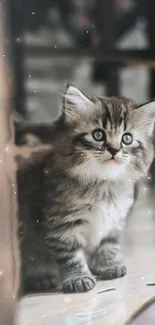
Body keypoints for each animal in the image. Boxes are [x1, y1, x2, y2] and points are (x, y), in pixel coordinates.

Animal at [16, 85, 155, 292]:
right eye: (98, 135)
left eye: (127, 138)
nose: (114, 150)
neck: (104, 185)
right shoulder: (62, 225)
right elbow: (71, 255)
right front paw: (78, 278)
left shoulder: (115, 221)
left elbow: (108, 245)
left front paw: (109, 266)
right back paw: (40, 280)